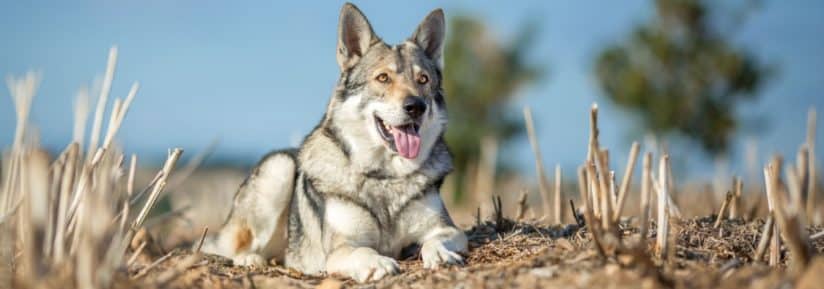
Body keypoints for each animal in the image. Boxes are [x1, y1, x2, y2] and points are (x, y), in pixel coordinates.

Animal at [203, 2, 466, 282]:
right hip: (279, 168)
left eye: (423, 80)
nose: (416, 106)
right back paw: (251, 260)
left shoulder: (449, 229)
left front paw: (440, 254)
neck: (384, 176)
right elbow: (363, 251)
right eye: (383, 78)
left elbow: (435, 240)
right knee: (235, 248)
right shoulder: (341, 248)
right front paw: (379, 263)